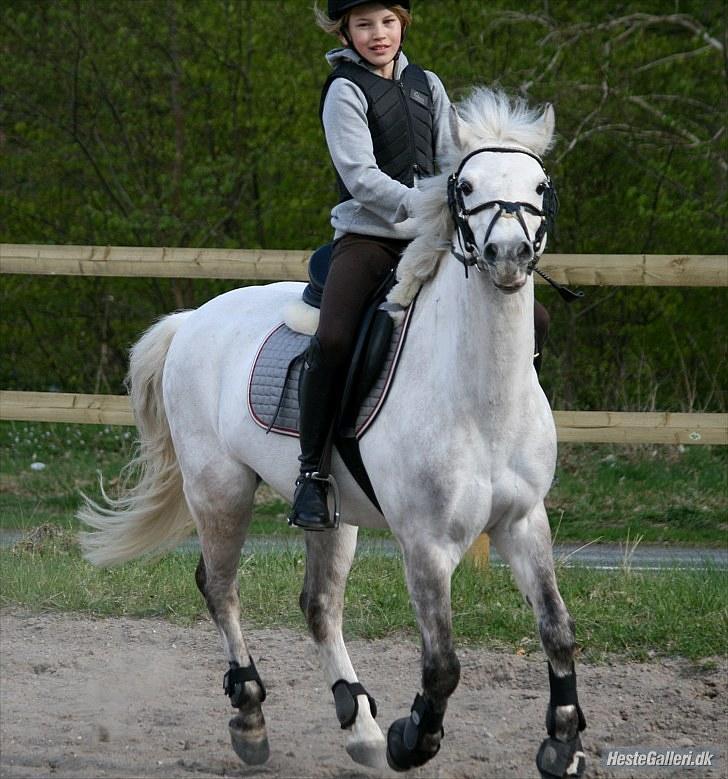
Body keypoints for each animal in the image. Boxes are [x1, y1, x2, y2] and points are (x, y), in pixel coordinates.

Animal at [79, 87, 586, 777]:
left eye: (539, 185)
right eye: (466, 185)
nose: (508, 254)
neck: (481, 400)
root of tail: (193, 319)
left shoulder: (524, 522)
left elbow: (557, 630)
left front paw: (562, 741)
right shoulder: (425, 544)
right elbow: (443, 662)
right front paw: (411, 738)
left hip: (332, 514)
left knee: (318, 606)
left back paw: (359, 725)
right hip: (219, 491)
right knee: (220, 588)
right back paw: (253, 718)